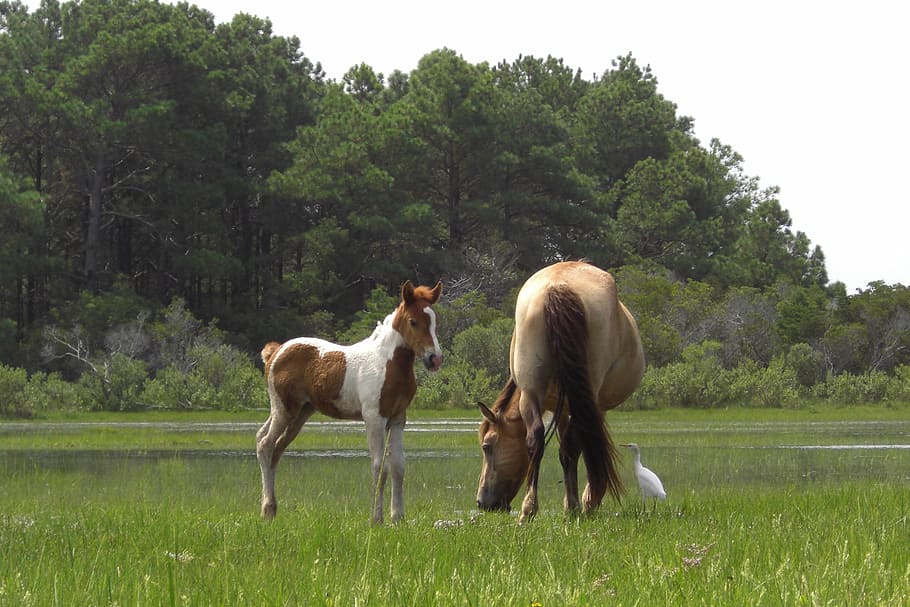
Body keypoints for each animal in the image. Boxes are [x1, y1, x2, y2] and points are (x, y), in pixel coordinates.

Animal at [256, 280, 446, 524]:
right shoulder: (374, 418)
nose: (435, 359)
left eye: (435, 321)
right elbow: (379, 467)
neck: (388, 363)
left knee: (274, 447)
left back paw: (272, 509)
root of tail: (276, 351)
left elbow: (398, 466)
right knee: (265, 444)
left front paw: (398, 517)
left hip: (299, 413)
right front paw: (376, 519)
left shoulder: (397, 419)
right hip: (284, 409)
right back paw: (267, 508)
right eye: (413, 321)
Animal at [474, 262, 644, 524]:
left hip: (531, 392)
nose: (482, 502)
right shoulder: (578, 408)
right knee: (567, 444)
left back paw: (531, 510)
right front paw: (578, 502)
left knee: (537, 440)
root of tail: (557, 287)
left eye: (487, 446)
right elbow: (576, 447)